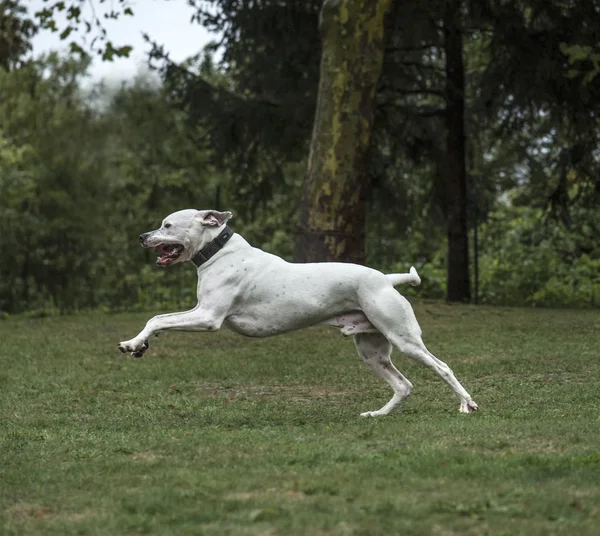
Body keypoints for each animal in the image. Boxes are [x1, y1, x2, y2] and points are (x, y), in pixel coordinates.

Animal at [119, 207, 480, 416]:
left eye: (167, 225)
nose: (141, 236)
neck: (218, 251)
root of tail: (386, 279)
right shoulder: (200, 310)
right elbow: (160, 320)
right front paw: (140, 346)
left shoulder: (208, 317)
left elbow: (158, 318)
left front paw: (132, 343)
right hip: (371, 351)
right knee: (403, 385)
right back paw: (376, 416)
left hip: (404, 338)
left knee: (442, 367)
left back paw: (467, 404)